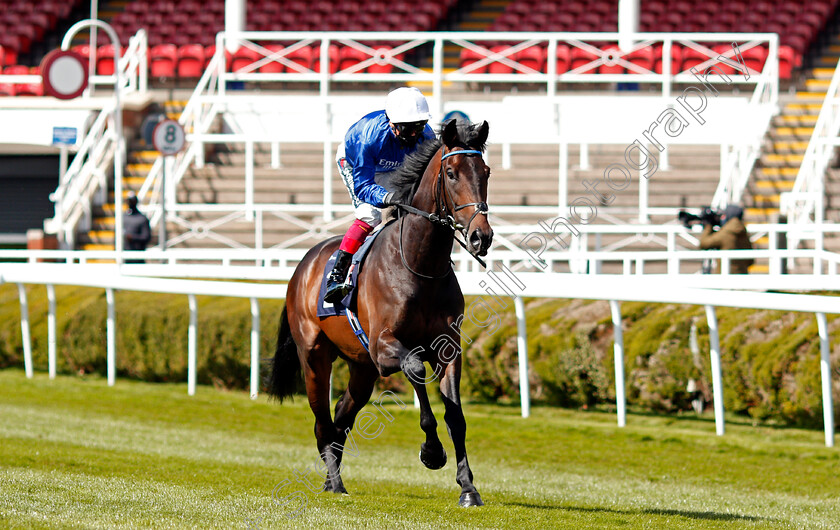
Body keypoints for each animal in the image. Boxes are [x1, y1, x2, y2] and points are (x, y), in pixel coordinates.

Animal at [270, 117, 492, 506]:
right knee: (322, 423)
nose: (482, 236)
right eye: (451, 172)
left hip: (361, 369)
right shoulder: (385, 348)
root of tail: (304, 264)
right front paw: (432, 452)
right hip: (314, 357)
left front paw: (468, 488)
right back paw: (335, 483)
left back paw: (331, 480)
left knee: (340, 420)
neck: (420, 266)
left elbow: (457, 417)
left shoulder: (448, 349)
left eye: (486, 171)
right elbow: (416, 369)